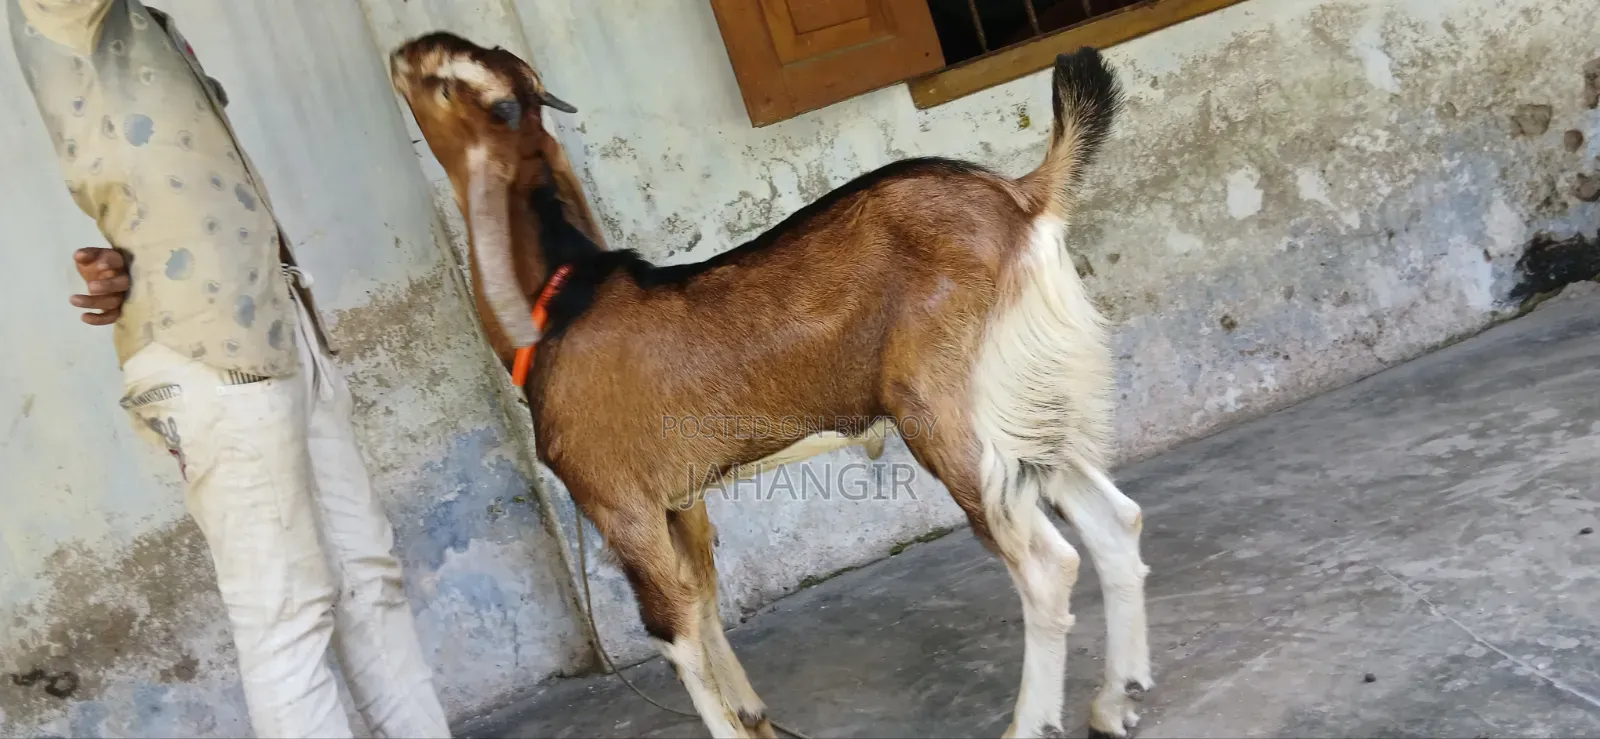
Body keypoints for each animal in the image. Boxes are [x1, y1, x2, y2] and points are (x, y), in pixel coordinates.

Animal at [389, 33, 1150, 739]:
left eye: (444, 80)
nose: (400, 52)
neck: (560, 300)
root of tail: (1024, 198)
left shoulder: (619, 504)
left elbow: (673, 634)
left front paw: (729, 721)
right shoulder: (683, 500)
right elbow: (704, 598)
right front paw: (753, 712)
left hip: (951, 414)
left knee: (1045, 564)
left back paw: (1033, 720)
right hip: (1029, 396)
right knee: (1116, 520)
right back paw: (1114, 702)